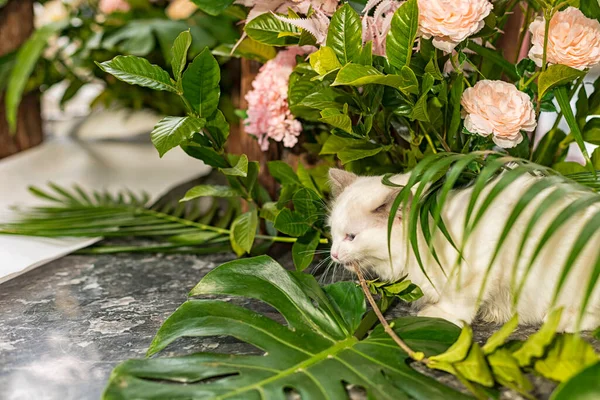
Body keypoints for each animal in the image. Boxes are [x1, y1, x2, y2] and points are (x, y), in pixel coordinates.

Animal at [328, 168, 600, 332]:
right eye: (332, 234)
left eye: (351, 237)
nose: (333, 254)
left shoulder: (480, 262)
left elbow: (459, 301)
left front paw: (438, 315)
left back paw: (561, 319)